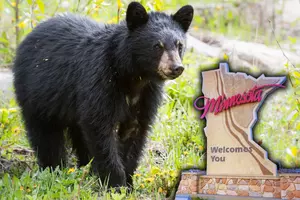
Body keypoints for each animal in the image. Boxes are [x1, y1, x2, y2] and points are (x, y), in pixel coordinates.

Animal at [12, 1, 193, 189]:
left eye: (179, 45)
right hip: (37, 94)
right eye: (157, 46)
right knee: (46, 135)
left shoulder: (147, 94)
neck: (133, 76)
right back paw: (54, 168)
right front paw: (116, 183)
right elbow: (100, 128)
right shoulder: (99, 80)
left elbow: (134, 131)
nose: (176, 68)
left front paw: (128, 183)